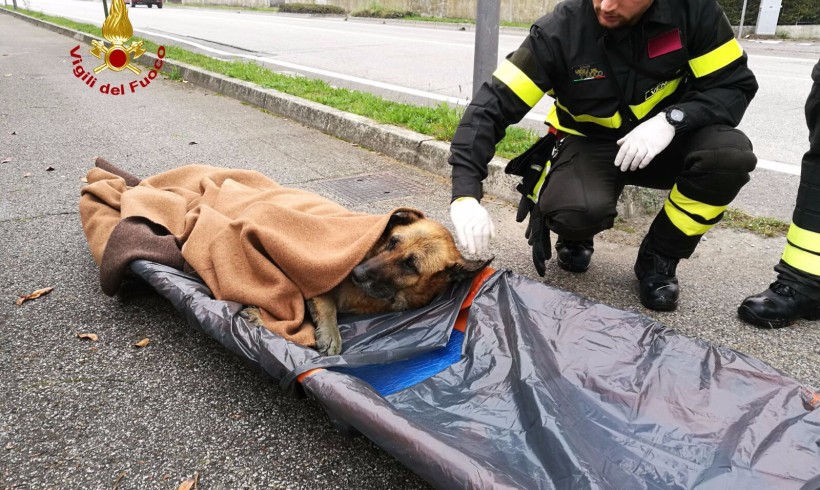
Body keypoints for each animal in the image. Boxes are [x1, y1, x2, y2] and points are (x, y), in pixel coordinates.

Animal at [240, 211, 490, 356]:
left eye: (410, 265)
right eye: (392, 241)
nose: (356, 273)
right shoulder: (319, 279)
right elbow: (327, 305)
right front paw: (331, 333)